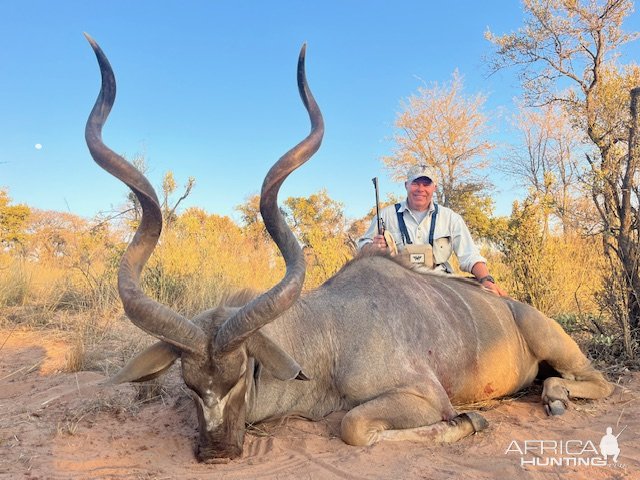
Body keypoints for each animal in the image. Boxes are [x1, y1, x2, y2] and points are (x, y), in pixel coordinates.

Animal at [82, 33, 612, 462]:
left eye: (243, 374)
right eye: (188, 383)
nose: (216, 451)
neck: (332, 335)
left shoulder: (425, 396)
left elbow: (354, 426)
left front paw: (472, 419)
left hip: (556, 345)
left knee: (593, 380)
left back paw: (556, 397)